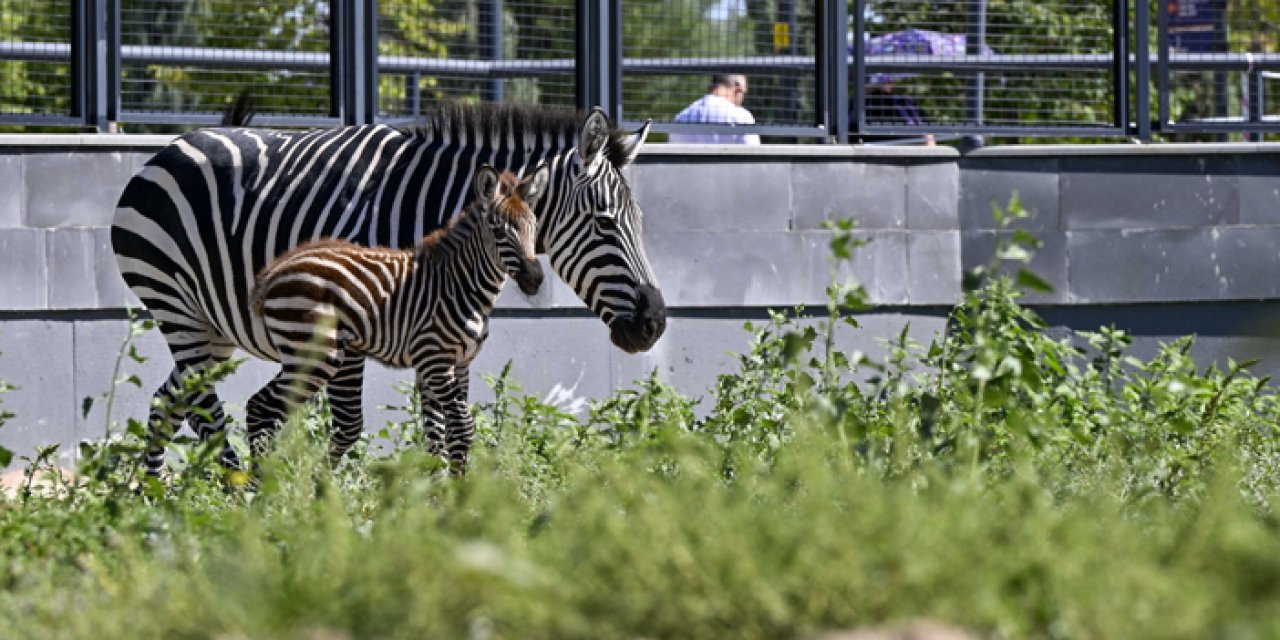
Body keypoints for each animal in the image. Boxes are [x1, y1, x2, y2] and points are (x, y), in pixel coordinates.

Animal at [250, 165, 546, 473]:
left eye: (534, 227)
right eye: (498, 230)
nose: (535, 280)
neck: (461, 285)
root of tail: (277, 269)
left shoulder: (458, 364)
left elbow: (441, 433)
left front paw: (448, 484)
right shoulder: (435, 360)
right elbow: (463, 427)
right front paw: (459, 484)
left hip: (307, 353)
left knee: (260, 406)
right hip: (314, 353)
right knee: (263, 407)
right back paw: (260, 484)